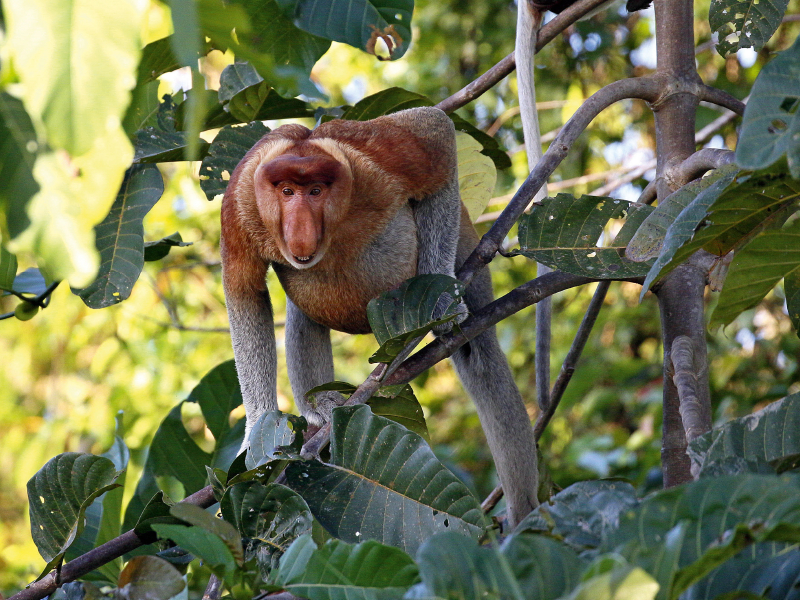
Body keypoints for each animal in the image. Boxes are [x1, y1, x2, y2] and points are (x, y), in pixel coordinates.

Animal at [222, 106, 540, 524]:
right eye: (287, 191)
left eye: (316, 191)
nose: (301, 227)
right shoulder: (241, 202)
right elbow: (244, 292)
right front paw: (258, 428)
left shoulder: (371, 159)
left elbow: (435, 131)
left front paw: (442, 304)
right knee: (303, 315)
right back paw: (321, 410)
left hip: (466, 238)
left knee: (481, 355)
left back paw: (524, 514)